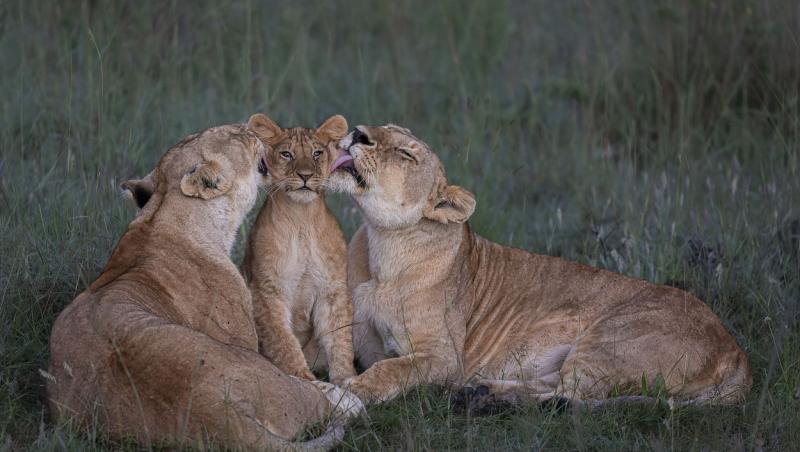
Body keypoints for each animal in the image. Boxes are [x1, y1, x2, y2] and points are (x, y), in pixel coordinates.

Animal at [244, 114, 356, 384]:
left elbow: (340, 339)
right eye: (287, 154)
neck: (301, 220)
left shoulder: (332, 288)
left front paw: (346, 379)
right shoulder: (266, 290)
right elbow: (283, 341)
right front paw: (303, 378)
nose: (305, 175)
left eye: (317, 153)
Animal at [328, 122, 752, 406]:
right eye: (382, 127)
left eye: (406, 154)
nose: (359, 132)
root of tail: (736, 351)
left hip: (610, 339)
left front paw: (356, 390)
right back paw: (481, 391)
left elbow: (393, 368)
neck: (382, 246)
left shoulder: (445, 356)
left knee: (570, 398)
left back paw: (479, 396)